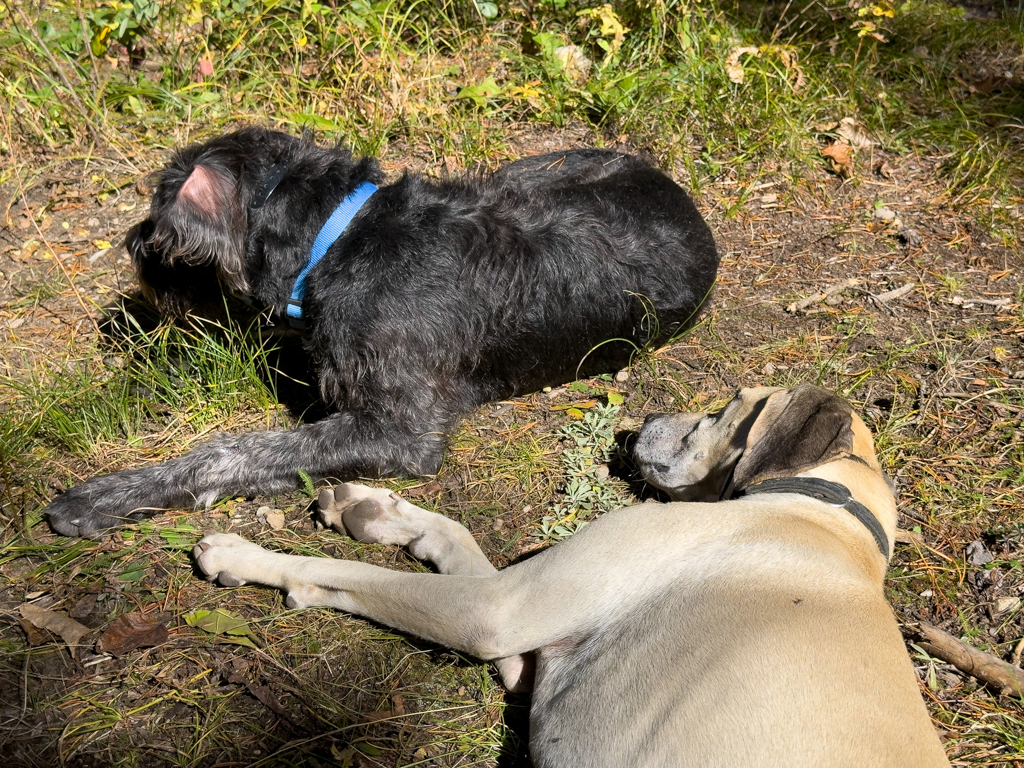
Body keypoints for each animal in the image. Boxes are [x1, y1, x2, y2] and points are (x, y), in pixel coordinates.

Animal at [44, 128, 716, 540]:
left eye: (158, 210)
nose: (132, 247)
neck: (339, 238)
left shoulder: (398, 429)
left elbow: (232, 451)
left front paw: (107, 496)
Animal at [193, 387, 950, 765]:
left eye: (724, 405)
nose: (641, 422)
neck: (835, 520)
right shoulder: (521, 639)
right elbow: (450, 534)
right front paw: (374, 509)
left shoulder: (495, 612)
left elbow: (341, 572)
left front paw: (248, 557)